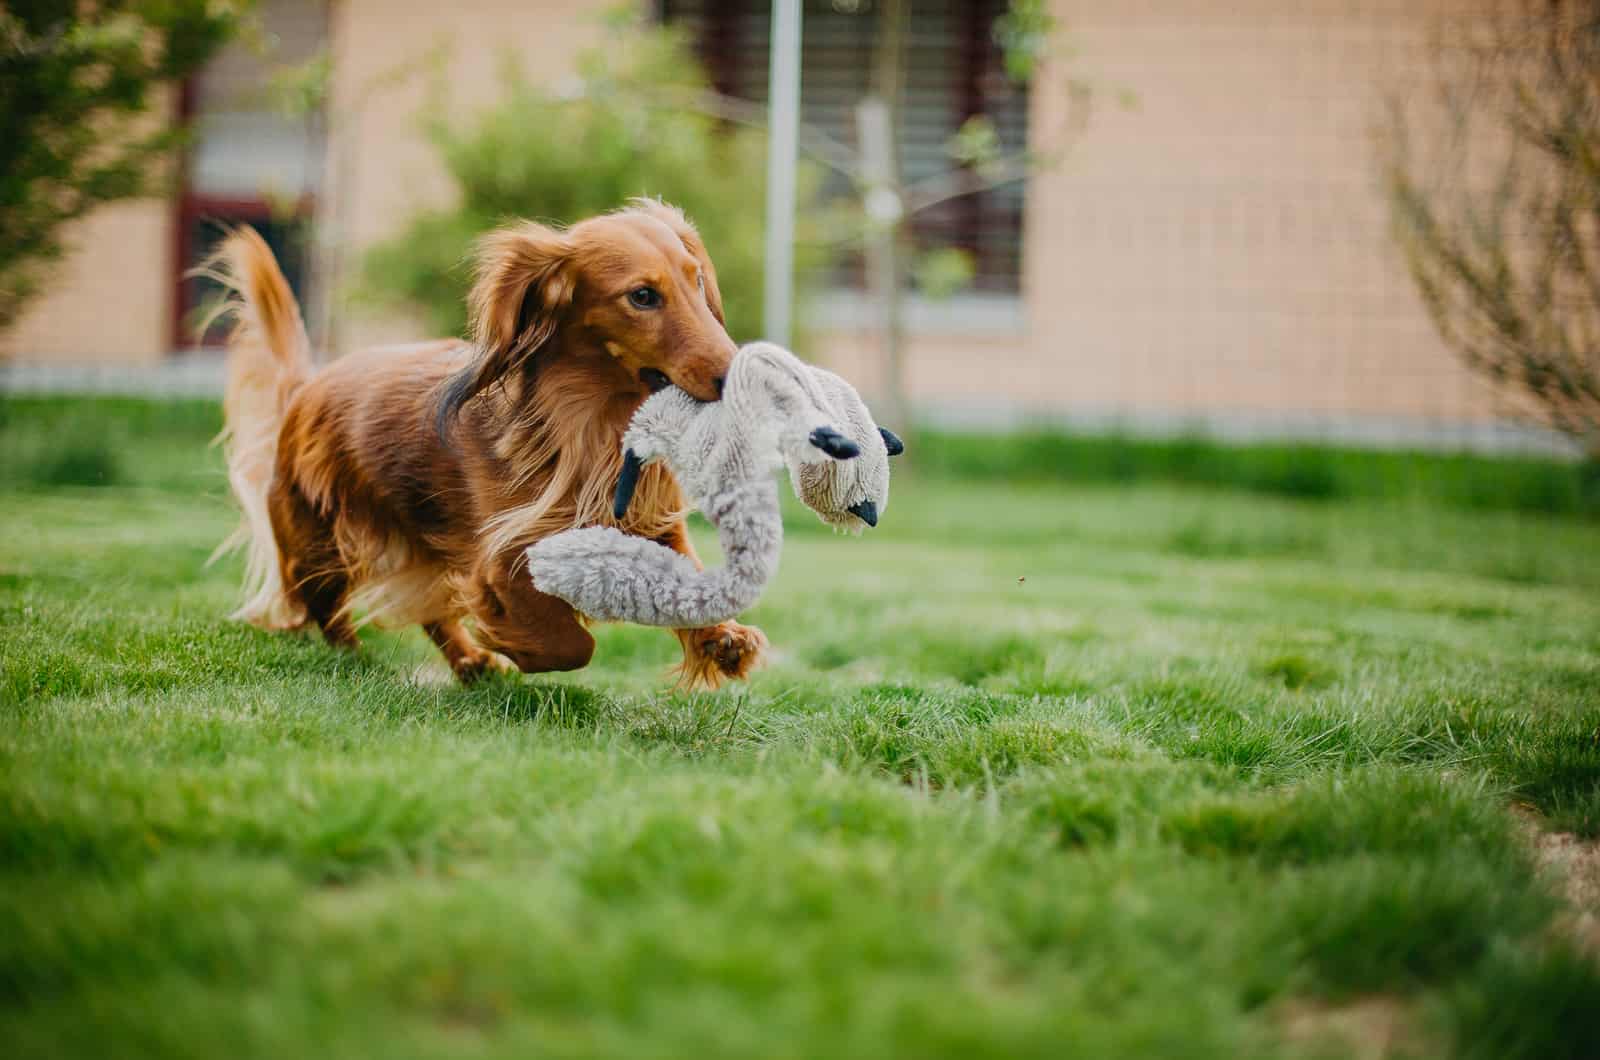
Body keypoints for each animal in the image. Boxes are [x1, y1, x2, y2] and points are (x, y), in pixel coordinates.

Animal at [211, 201, 768, 688]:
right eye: (643, 296)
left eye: (696, 279)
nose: (742, 380)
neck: (590, 425)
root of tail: (305, 388)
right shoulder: (502, 556)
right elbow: (570, 645)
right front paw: (515, 643)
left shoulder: (651, 522)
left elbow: (689, 582)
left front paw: (722, 639)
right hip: (322, 547)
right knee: (324, 610)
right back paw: (359, 657)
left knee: (426, 612)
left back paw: (468, 660)